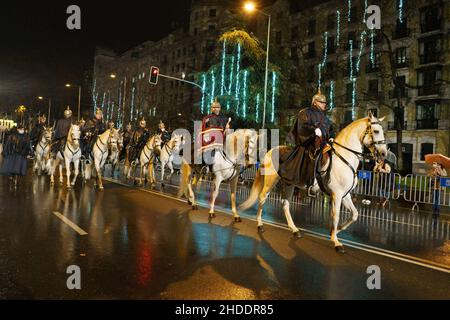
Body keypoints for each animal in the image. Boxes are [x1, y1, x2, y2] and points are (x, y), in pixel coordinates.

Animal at [239, 113, 386, 252]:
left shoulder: (345, 195)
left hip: (289, 184)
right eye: (376, 131)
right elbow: (336, 215)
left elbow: (354, 215)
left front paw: (334, 231)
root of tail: (270, 151)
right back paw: (260, 224)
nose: (384, 154)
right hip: (271, 181)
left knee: (285, 204)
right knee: (262, 198)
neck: (344, 157)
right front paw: (336, 241)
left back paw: (295, 230)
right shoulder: (337, 195)